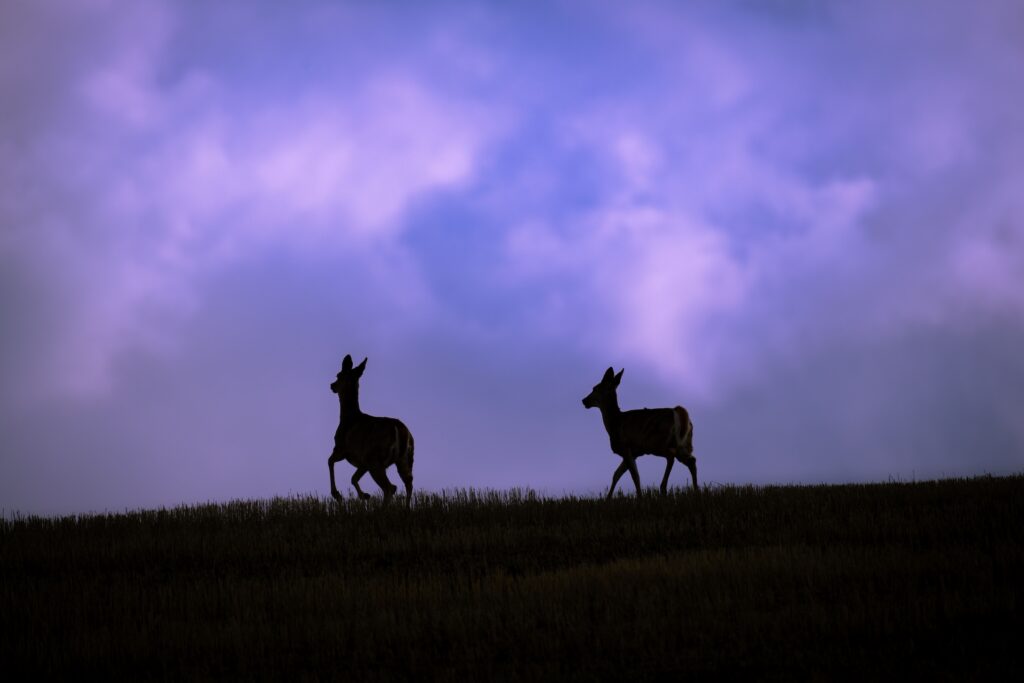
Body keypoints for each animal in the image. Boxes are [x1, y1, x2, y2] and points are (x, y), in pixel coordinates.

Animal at [328, 355, 415, 507]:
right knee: (408, 484)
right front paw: (365, 495)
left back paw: (382, 509)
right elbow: (353, 478)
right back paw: (405, 509)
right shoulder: (363, 463)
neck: (348, 417)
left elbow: (329, 461)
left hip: (375, 459)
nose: (332, 385)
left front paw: (338, 495)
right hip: (405, 459)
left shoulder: (341, 448)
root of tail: (399, 430)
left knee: (390, 487)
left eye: (338, 375)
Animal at [582, 367, 697, 499]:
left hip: (657, 443)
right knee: (692, 461)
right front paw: (608, 498)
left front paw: (640, 498)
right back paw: (696, 490)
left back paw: (663, 488)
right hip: (683, 444)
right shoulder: (634, 453)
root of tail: (678, 413)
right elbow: (616, 474)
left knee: (671, 457)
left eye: (595, 388)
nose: (584, 400)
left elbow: (634, 476)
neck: (615, 423)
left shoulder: (626, 447)